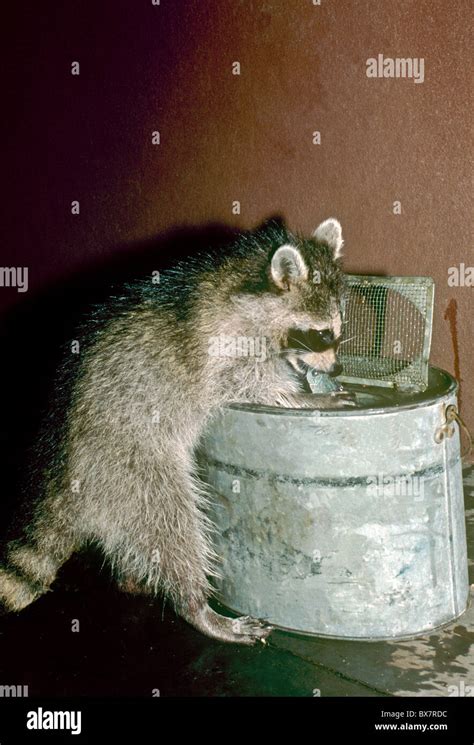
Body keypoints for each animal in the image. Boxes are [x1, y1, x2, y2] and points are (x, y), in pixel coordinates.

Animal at [0, 217, 352, 644]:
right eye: (322, 333)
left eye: (338, 330)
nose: (336, 368)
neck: (249, 280)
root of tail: (62, 472)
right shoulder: (225, 346)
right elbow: (251, 385)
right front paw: (304, 397)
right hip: (129, 470)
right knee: (171, 526)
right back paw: (196, 606)